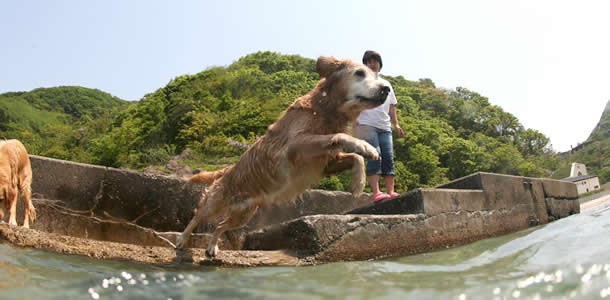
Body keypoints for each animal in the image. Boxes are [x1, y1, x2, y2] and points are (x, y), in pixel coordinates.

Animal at [175, 55, 390, 255]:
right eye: (359, 73)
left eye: (375, 76)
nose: (387, 88)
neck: (324, 110)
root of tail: (227, 170)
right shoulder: (293, 146)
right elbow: (340, 136)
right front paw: (365, 147)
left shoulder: (324, 164)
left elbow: (355, 157)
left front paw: (358, 182)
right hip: (215, 203)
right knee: (196, 216)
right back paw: (182, 240)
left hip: (243, 214)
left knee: (220, 225)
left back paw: (212, 247)